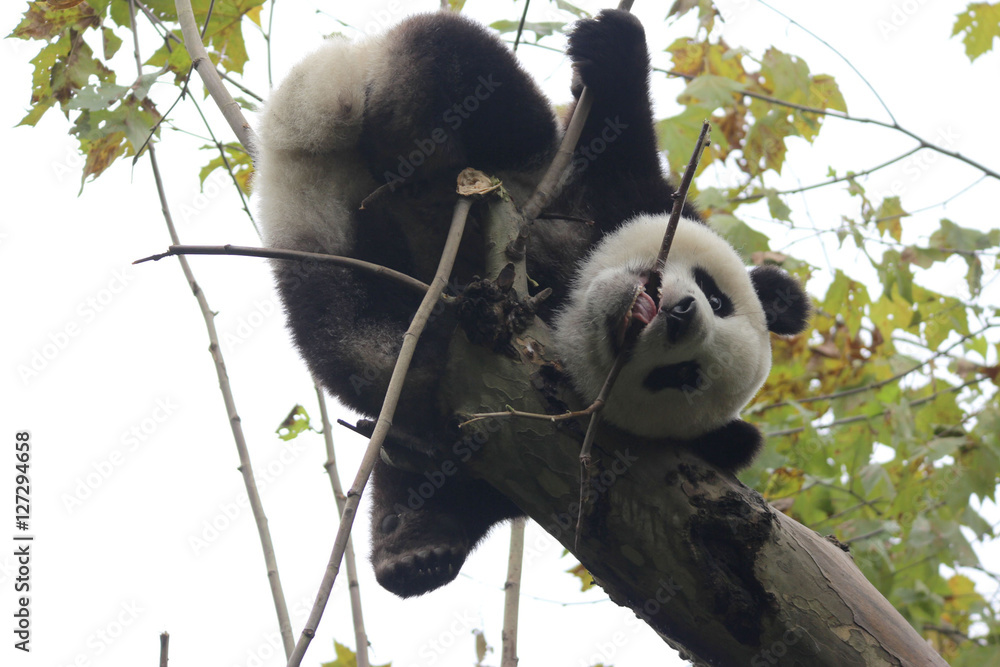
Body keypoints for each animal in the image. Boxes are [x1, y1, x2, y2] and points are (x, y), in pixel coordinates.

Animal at [254, 9, 806, 598]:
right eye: (717, 298)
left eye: (683, 375)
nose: (683, 314)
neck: (567, 301)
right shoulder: (615, 197)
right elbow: (615, 141)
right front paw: (613, 49)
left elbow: (476, 485)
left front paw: (420, 544)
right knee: (461, 63)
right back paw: (414, 148)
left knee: (336, 317)